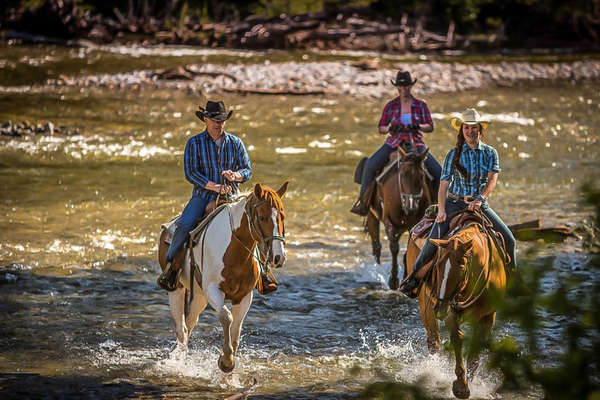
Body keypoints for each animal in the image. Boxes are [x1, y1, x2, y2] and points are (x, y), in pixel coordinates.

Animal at [157, 183, 288, 374]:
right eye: (262, 217)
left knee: (190, 323)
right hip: (177, 290)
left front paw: (229, 358)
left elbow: (236, 329)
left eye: (282, 216)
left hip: (200, 296)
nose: (279, 257)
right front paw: (226, 361)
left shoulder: (244, 296)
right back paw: (179, 361)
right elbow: (226, 317)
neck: (235, 249)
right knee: (181, 328)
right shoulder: (213, 289)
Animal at [366, 145, 432, 290]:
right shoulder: (388, 222)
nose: (411, 207)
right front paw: (393, 281)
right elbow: (394, 248)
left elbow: (408, 249)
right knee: (377, 247)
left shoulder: (414, 225)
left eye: (422, 176)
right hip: (372, 217)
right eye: (402, 175)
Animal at [406, 220, 508, 398]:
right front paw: (461, 386)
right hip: (425, 305)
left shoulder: (488, 316)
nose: (439, 309)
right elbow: (457, 338)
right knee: (434, 341)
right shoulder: (450, 313)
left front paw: (470, 382)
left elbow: (475, 352)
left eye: (461, 269)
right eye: (437, 266)